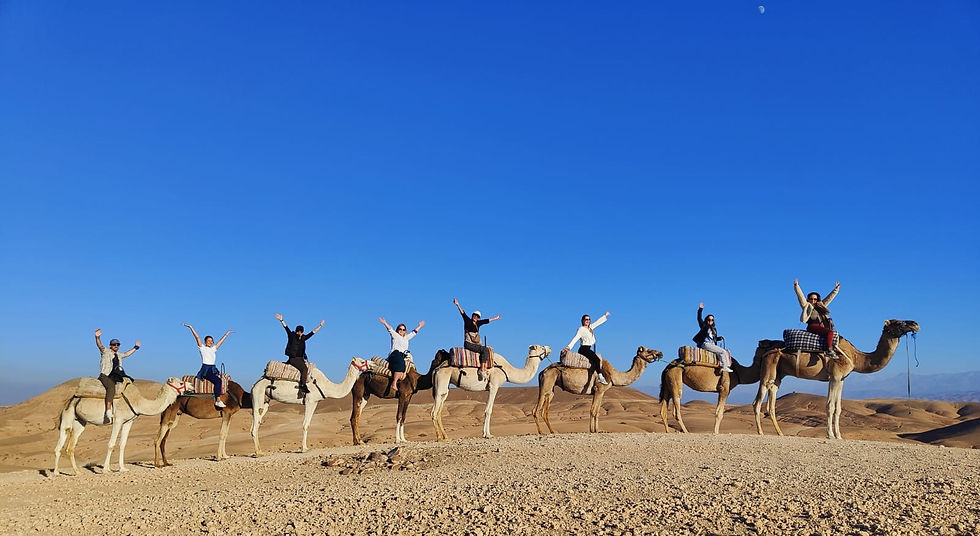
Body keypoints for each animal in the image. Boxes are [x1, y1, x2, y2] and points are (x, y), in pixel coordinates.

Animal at [53, 377, 193, 476]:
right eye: (180, 382)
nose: (191, 386)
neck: (138, 402)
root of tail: (70, 399)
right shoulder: (118, 419)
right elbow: (111, 444)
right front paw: (106, 469)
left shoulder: (128, 421)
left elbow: (123, 444)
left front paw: (122, 468)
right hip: (67, 417)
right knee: (61, 444)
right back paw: (59, 472)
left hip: (80, 422)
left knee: (70, 447)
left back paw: (72, 472)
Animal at [533, 346, 663, 434]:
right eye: (648, 350)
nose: (660, 353)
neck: (613, 375)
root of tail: (542, 372)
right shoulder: (599, 389)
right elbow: (593, 410)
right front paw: (592, 430)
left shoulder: (601, 392)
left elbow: (597, 411)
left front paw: (598, 430)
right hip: (546, 386)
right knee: (536, 410)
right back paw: (541, 432)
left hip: (550, 390)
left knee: (543, 410)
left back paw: (552, 431)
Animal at [752, 319, 920, 439]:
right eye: (898, 322)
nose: (915, 324)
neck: (855, 357)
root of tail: (763, 346)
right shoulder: (835, 377)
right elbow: (830, 406)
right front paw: (830, 435)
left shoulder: (841, 379)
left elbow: (838, 408)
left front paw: (839, 436)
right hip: (768, 368)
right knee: (758, 400)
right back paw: (760, 432)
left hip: (779, 373)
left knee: (772, 399)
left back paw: (780, 433)